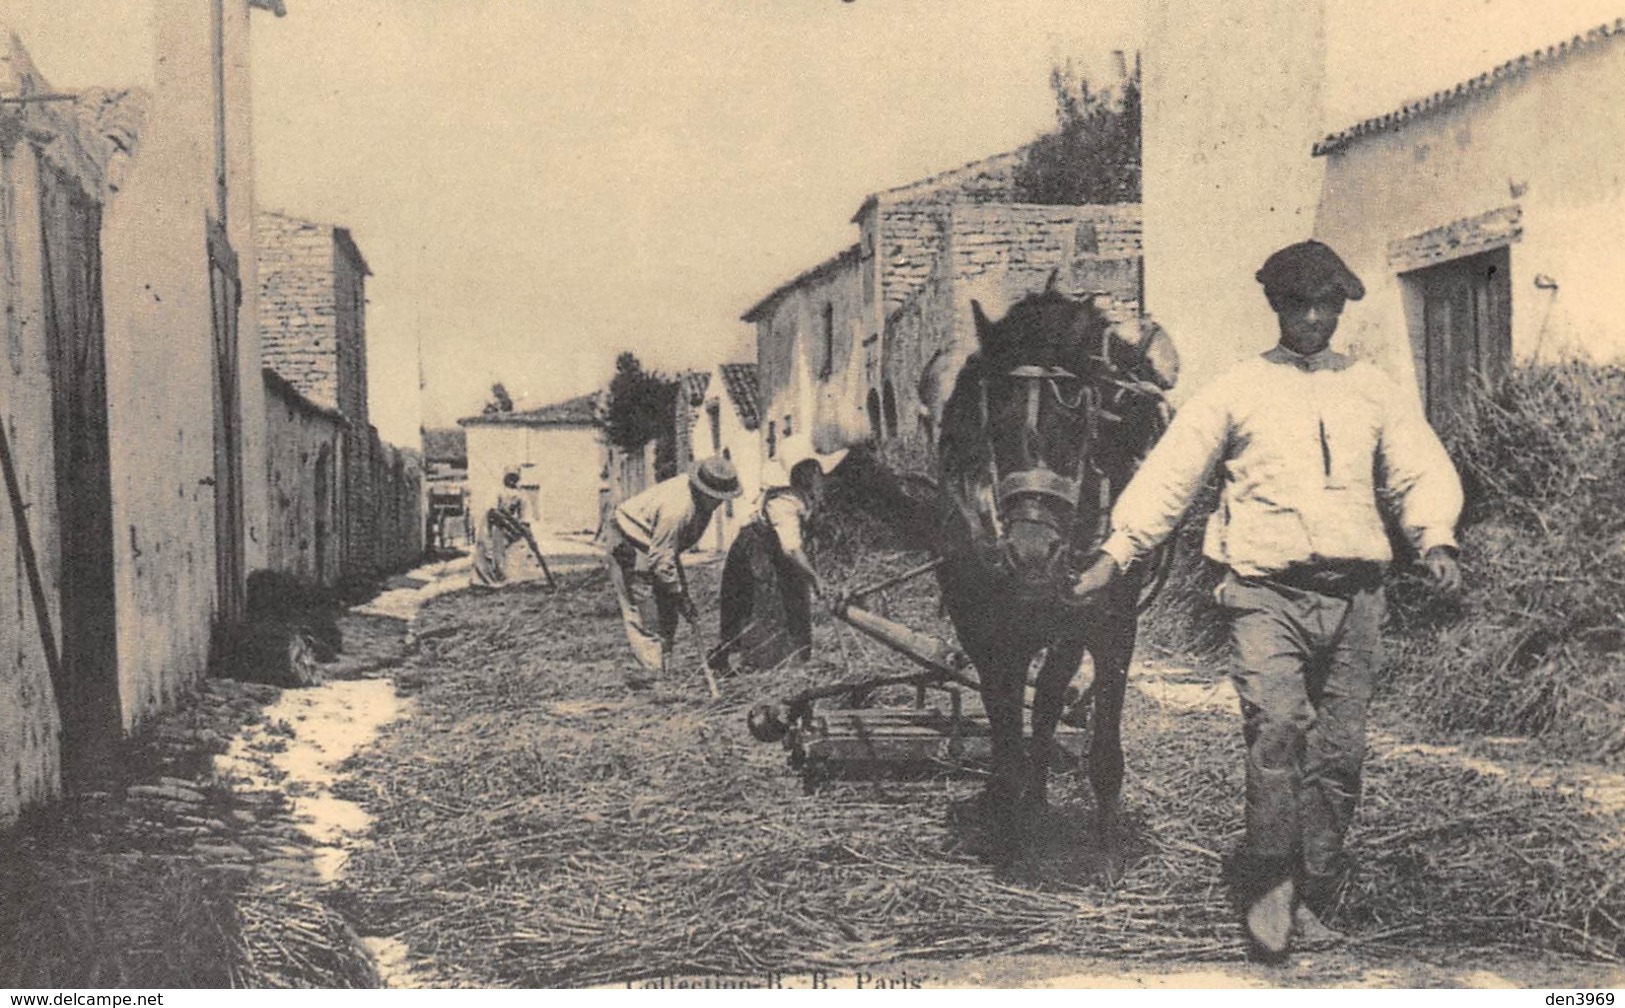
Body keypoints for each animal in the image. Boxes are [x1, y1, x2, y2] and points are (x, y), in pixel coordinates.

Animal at [936, 279, 1176, 871]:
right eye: (992, 423)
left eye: (1075, 423)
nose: (1032, 552)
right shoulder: (985, 632)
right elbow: (1004, 735)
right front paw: (1006, 834)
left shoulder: (1110, 627)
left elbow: (1099, 746)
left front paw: (1107, 852)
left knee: (1047, 701)